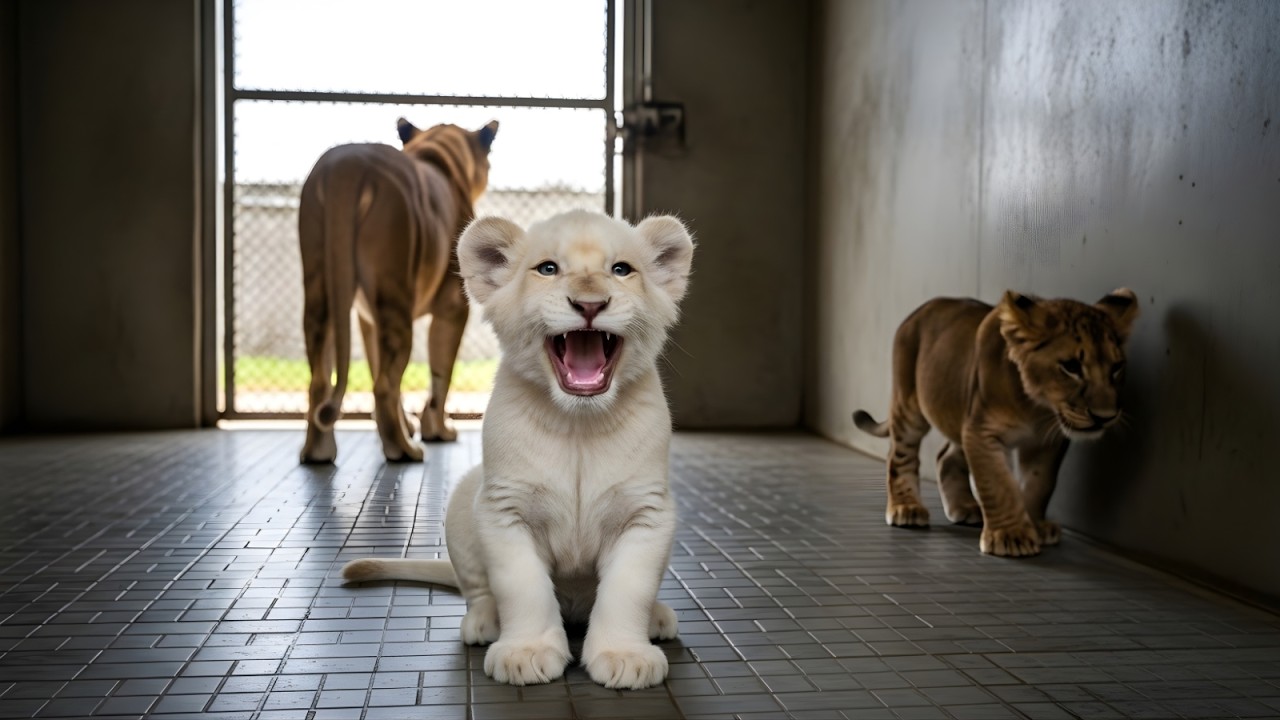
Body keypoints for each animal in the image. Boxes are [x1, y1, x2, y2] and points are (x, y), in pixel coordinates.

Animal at [298, 118, 498, 463]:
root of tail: (347, 167)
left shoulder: (368, 318)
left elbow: (379, 365)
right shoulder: (453, 307)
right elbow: (440, 373)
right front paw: (437, 430)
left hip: (321, 296)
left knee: (322, 380)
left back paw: (318, 452)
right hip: (395, 302)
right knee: (384, 386)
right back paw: (404, 450)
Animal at [341, 209, 695, 689]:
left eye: (621, 270)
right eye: (547, 268)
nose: (590, 304)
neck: (578, 425)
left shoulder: (646, 512)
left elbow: (629, 589)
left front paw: (626, 656)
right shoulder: (504, 510)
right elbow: (522, 586)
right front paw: (525, 654)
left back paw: (658, 618)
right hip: (464, 501)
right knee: (478, 589)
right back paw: (485, 622)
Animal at [853, 289, 1139, 557]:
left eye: (1116, 367)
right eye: (1071, 366)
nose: (1105, 416)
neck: (1036, 407)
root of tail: (917, 312)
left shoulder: (1047, 441)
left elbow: (1040, 483)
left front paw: (1036, 526)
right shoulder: (982, 431)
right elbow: (997, 483)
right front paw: (1010, 536)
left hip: (961, 413)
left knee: (946, 456)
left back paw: (964, 507)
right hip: (910, 405)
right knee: (899, 455)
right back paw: (906, 508)